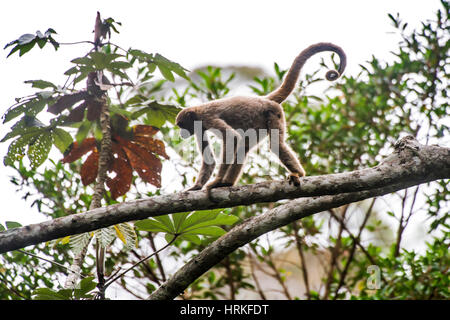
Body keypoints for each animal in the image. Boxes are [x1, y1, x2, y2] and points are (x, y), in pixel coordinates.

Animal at [176, 42, 344, 192]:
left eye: (181, 125)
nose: (181, 134)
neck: (197, 111)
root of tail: (264, 99)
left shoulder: (206, 118)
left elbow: (231, 138)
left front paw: (216, 180)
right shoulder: (200, 127)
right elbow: (210, 159)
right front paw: (196, 186)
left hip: (274, 113)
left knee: (275, 144)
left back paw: (298, 173)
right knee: (244, 146)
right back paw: (227, 183)